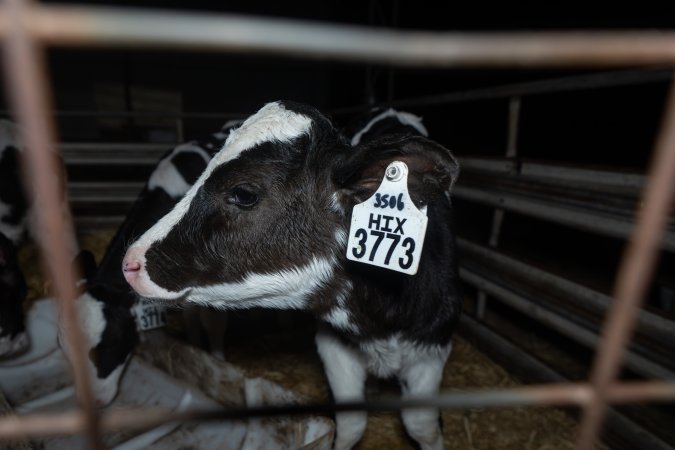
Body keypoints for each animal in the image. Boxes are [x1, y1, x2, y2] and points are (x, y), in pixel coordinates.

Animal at [122, 101, 460, 450]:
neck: (379, 318)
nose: (131, 263)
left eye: (244, 194)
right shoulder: (335, 347)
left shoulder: (432, 349)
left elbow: (422, 427)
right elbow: (351, 425)